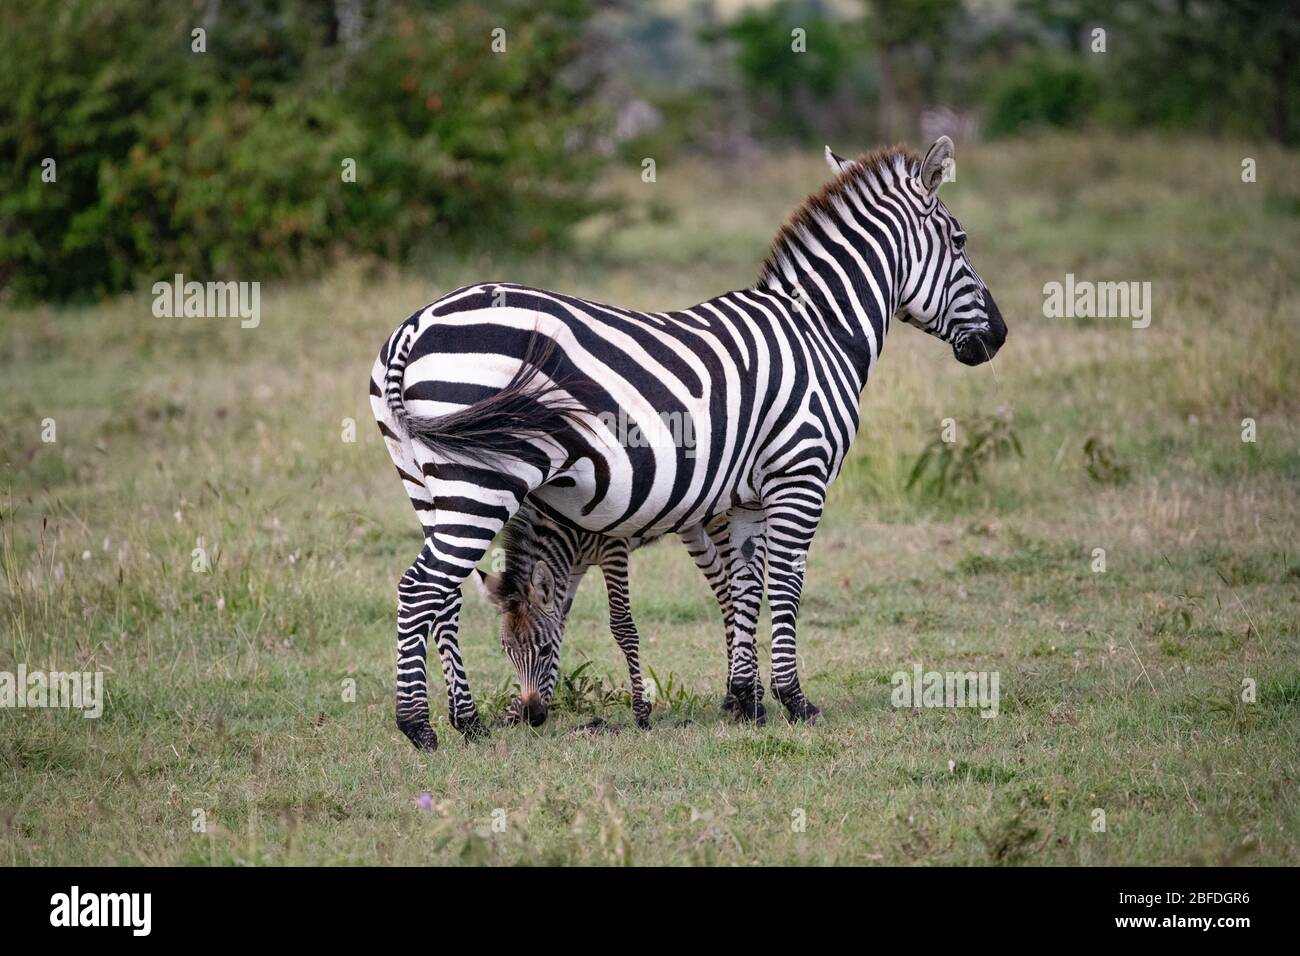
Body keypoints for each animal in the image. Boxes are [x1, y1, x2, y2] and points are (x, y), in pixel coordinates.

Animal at [370, 136, 1006, 751]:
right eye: (960, 240)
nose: (999, 337)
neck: (820, 330)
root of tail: (414, 327)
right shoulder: (799, 473)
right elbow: (785, 586)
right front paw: (795, 702)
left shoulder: (745, 497)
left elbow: (743, 589)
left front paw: (745, 702)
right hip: (481, 482)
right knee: (420, 590)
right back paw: (419, 727)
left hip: (429, 484)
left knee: (445, 599)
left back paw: (467, 721)